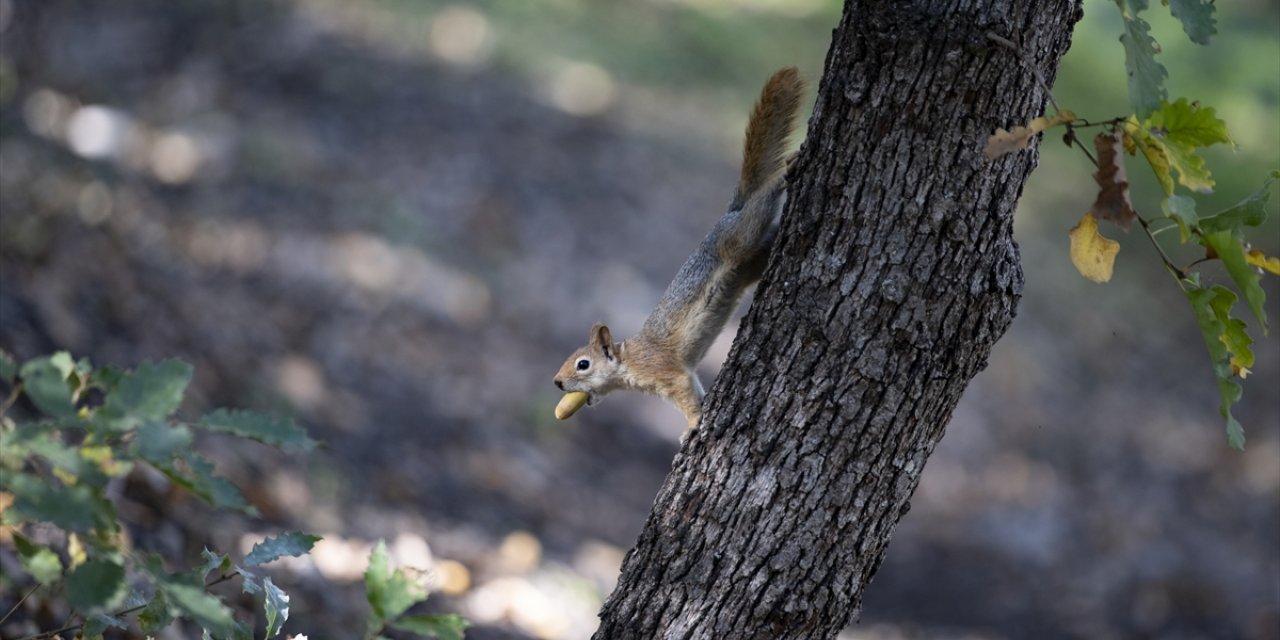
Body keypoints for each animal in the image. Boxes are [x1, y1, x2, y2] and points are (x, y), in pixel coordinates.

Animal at [555, 67, 803, 432]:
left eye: (582, 364)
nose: (557, 382)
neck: (628, 359)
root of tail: (731, 212)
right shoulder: (682, 375)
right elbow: (696, 385)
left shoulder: (664, 372)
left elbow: (685, 393)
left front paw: (693, 424)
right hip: (750, 262)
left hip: (737, 239)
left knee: (761, 202)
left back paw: (789, 170)